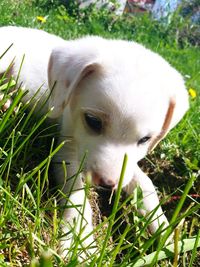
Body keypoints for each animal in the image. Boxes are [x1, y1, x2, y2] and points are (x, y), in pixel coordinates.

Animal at [0, 26, 189, 258]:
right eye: (93, 121)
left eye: (145, 139)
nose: (108, 184)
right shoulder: (66, 151)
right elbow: (77, 196)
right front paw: (78, 241)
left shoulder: (127, 166)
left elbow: (145, 184)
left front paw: (165, 233)